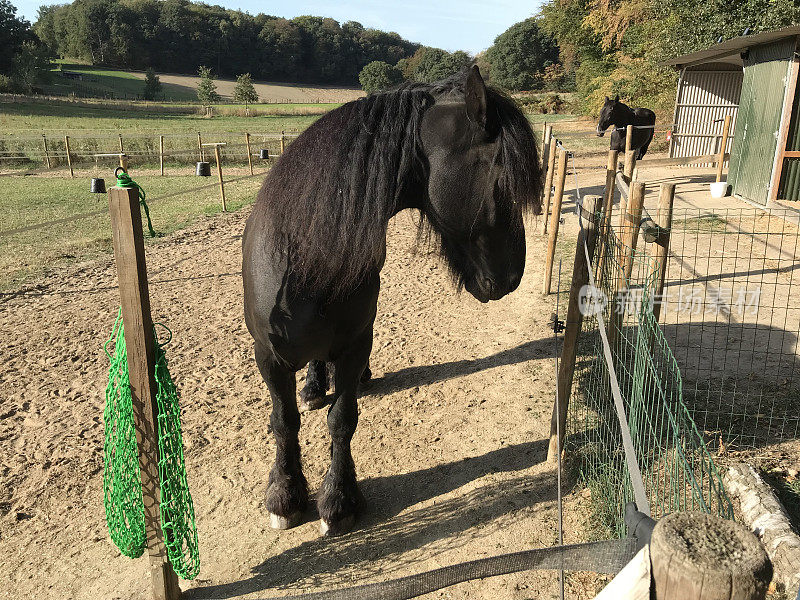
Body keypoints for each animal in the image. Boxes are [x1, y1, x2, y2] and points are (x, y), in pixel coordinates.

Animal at [241, 65, 540, 536]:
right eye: (502, 185)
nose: (513, 278)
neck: (304, 255)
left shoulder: (353, 343)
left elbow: (342, 419)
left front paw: (338, 499)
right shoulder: (267, 356)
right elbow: (284, 422)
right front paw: (285, 495)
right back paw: (313, 387)